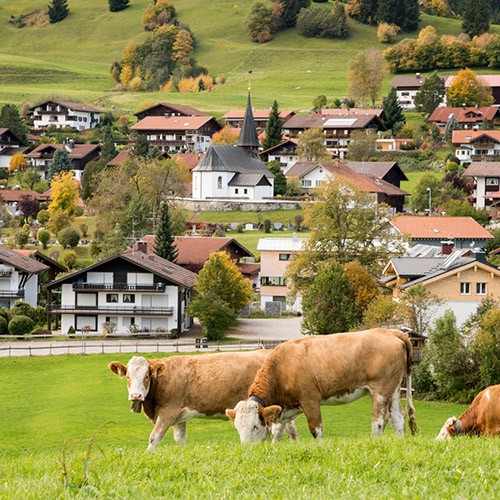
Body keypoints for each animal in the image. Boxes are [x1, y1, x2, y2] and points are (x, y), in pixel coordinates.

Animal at [109, 350, 296, 452]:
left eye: (146, 376)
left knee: (280, 429)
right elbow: (180, 440)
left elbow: (154, 438)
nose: (136, 396)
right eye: (127, 377)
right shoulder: (179, 417)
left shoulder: (167, 413)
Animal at [225, 330, 416, 444]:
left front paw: (320, 448)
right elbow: (277, 432)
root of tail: (389, 331)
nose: (246, 449)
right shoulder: (285, 408)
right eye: (237, 427)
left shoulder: (310, 399)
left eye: (254, 426)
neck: (283, 367)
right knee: (398, 417)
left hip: (380, 390)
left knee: (378, 421)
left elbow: (316, 429)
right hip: (393, 389)